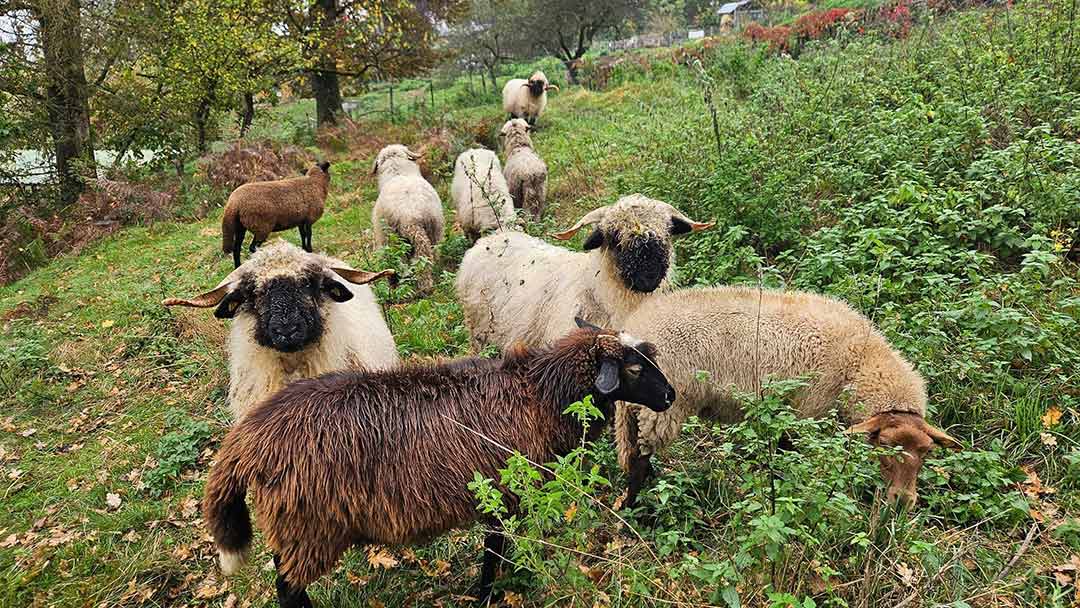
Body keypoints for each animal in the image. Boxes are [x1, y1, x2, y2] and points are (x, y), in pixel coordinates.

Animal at [203, 321, 673, 604]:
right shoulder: (501, 494)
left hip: (292, 526)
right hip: (309, 527)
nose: (669, 397)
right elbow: (493, 556)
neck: (538, 394)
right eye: (633, 368)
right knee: (286, 588)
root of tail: (249, 437)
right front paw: (487, 596)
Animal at [367, 143, 442, 293]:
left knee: (405, 262)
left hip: (396, 240)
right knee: (429, 255)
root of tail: (411, 215)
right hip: (433, 231)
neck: (398, 173)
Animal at [617, 285, 963, 509]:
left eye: (926, 452)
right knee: (638, 459)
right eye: (885, 446)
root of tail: (634, 327)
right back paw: (635, 511)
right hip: (662, 406)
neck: (860, 363)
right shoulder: (806, 411)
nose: (903, 503)